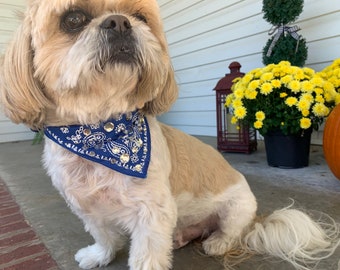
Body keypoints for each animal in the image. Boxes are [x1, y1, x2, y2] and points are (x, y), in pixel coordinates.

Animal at [0, 0, 340, 270]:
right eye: (73, 19)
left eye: (140, 16)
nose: (120, 21)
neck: (100, 132)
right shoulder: (86, 206)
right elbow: (104, 234)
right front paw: (100, 255)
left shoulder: (152, 213)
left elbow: (146, 255)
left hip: (237, 208)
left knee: (232, 231)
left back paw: (217, 241)